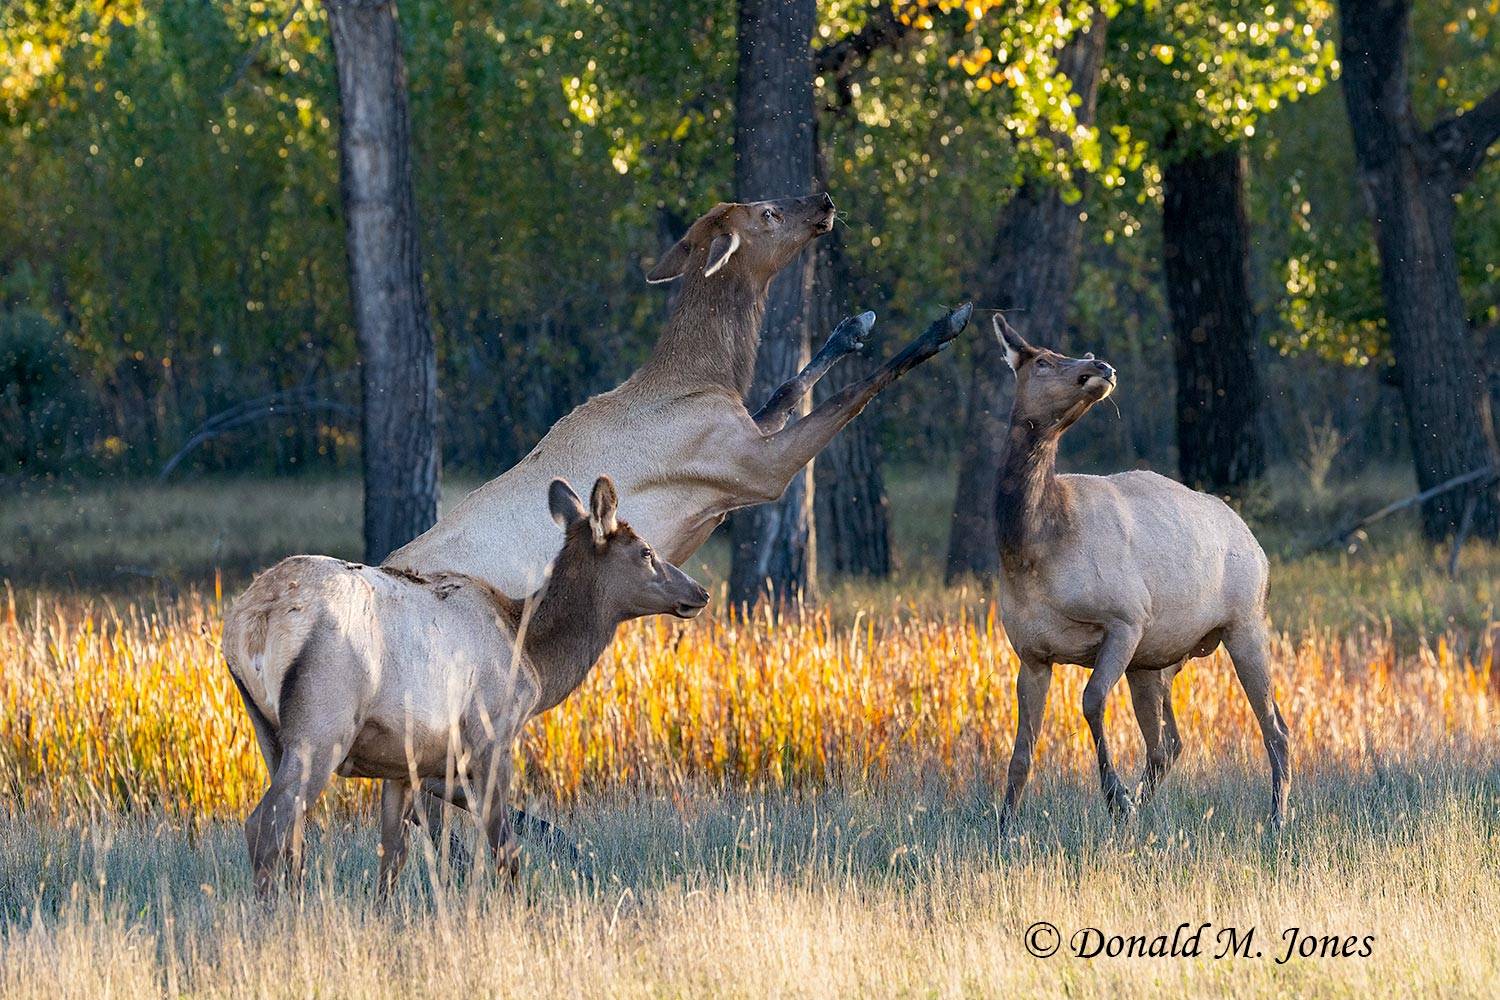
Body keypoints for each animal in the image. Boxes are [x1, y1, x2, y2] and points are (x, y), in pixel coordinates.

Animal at [222, 476, 708, 899]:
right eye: (646, 551)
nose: (699, 592)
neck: (532, 658)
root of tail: (250, 624)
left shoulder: (401, 762)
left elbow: (392, 857)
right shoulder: (491, 735)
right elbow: (503, 848)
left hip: (268, 732)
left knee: (293, 836)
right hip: (322, 724)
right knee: (265, 823)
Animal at [384, 196, 972, 602]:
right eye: (767, 212)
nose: (824, 201)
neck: (705, 374)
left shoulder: (742, 433)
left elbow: (787, 388)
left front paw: (854, 326)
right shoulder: (753, 469)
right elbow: (850, 394)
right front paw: (945, 324)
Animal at [984, 316, 1290, 833]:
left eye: (1078, 354)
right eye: (1042, 360)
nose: (1101, 367)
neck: (1031, 551)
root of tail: (1259, 550)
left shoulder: (1127, 618)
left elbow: (1090, 701)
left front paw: (1116, 797)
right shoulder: (1031, 653)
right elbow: (1023, 748)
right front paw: (1004, 826)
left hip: (1243, 622)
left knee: (1273, 728)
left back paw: (1276, 817)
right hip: (1157, 659)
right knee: (1171, 743)